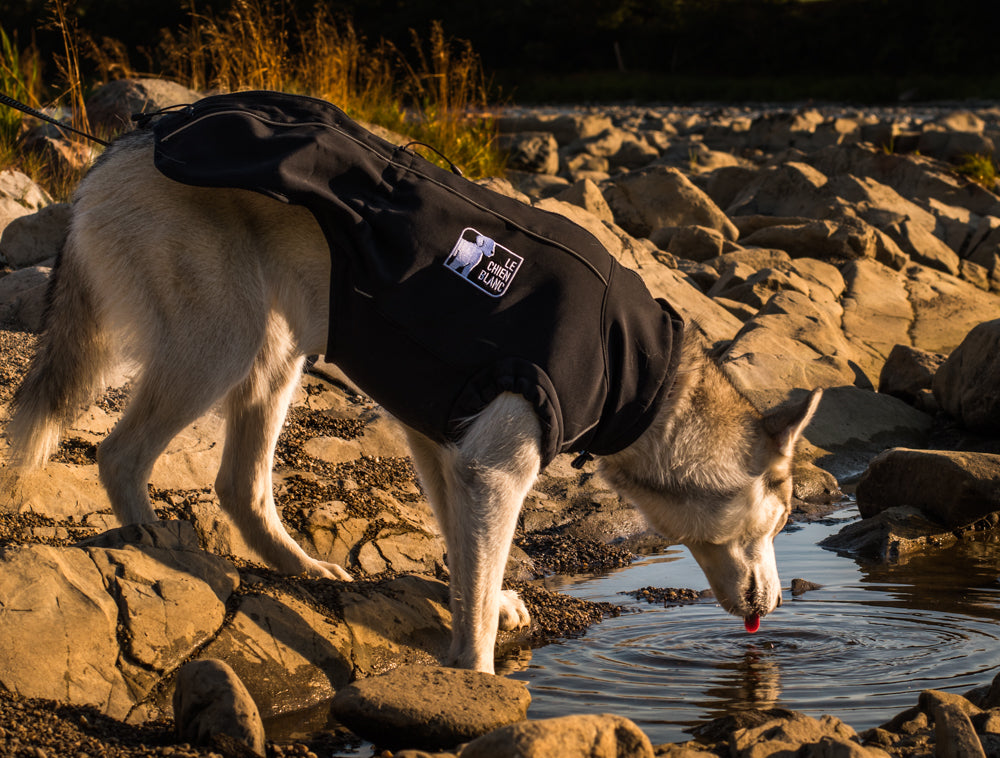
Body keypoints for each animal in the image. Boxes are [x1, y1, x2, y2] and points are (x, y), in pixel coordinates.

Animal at [5, 129, 820, 676]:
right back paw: (146, 537)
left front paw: (485, 610)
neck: (640, 380)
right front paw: (482, 680)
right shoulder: (494, 470)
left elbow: (467, 562)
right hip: (222, 347)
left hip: (277, 354)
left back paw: (305, 569)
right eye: (780, 522)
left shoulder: (445, 450)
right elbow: (479, 583)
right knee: (120, 452)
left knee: (240, 486)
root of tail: (125, 145)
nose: (780, 609)